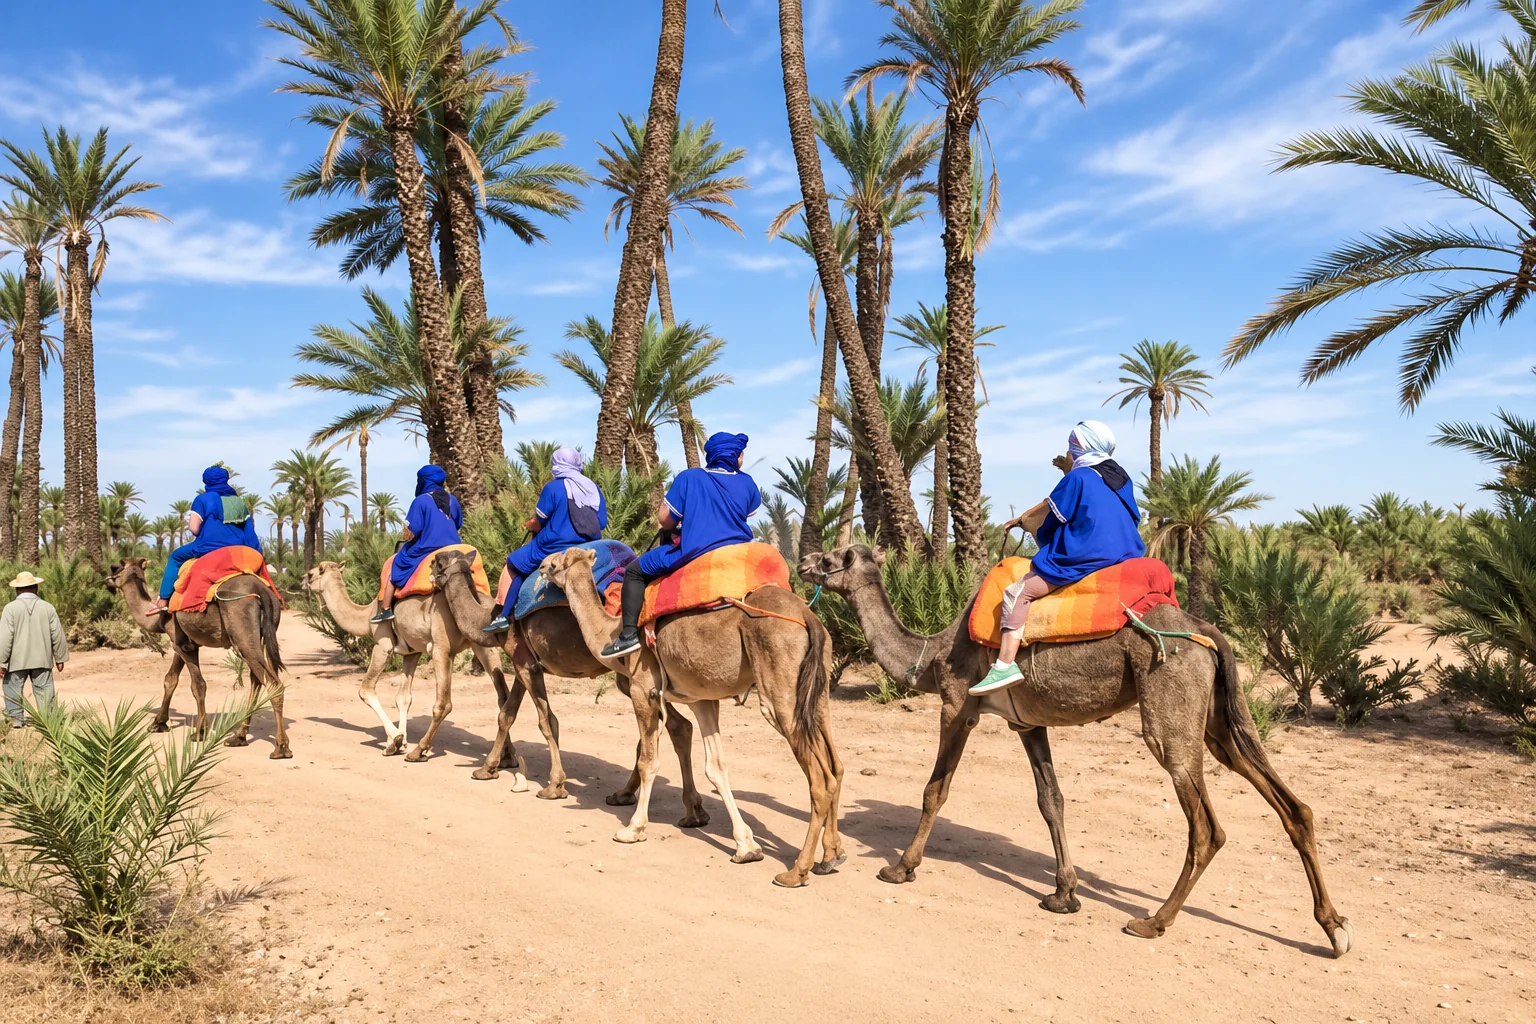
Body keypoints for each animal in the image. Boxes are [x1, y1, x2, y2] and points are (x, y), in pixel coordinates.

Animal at [109, 557, 291, 758]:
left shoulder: (181, 644)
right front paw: (158, 723)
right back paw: (238, 737)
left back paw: (281, 747)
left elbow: (198, 685)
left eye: (115, 567)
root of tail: (263, 591)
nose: (107, 580)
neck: (156, 617)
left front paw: (199, 732)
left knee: (272, 683)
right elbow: (170, 680)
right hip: (266, 630)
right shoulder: (183, 643)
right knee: (257, 678)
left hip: (242, 633)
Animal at [302, 559, 518, 772]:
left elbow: (366, 690)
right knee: (502, 697)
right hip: (483, 645)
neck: (366, 616)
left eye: (312, 574)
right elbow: (403, 698)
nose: (303, 581)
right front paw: (402, 740)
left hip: (442, 645)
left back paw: (419, 752)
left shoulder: (382, 645)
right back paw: (507, 757)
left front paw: (394, 742)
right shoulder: (412, 653)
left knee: (444, 703)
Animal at [428, 551, 708, 816]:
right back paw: (676, 806)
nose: (429, 573)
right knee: (678, 726)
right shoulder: (524, 664)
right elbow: (506, 715)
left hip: (635, 672)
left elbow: (547, 721)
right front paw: (487, 768)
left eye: (437, 562)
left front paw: (555, 785)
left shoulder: (525, 663)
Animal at [543, 545, 845, 888]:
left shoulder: (643, 688)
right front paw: (745, 846)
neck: (611, 633)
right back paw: (831, 856)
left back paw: (797, 870)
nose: (539, 569)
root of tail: (808, 618)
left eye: (553, 564)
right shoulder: (703, 700)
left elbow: (649, 761)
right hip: (817, 692)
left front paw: (633, 828)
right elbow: (716, 767)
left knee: (819, 779)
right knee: (835, 766)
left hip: (779, 690)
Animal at [799, 544, 1353, 957]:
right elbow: (1052, 800)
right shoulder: (1027, 722)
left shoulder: (957, 705)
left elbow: (935, 789)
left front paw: (901, 867)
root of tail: (1209, 632)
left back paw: (1153, 921)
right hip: (1220, 720)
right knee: (1292, 806)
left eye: (834, 558)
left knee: (1205, 826)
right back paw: (1335, 928)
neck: (931, 654)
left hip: (1170, 700)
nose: (803, 561)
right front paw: (1064, 894)